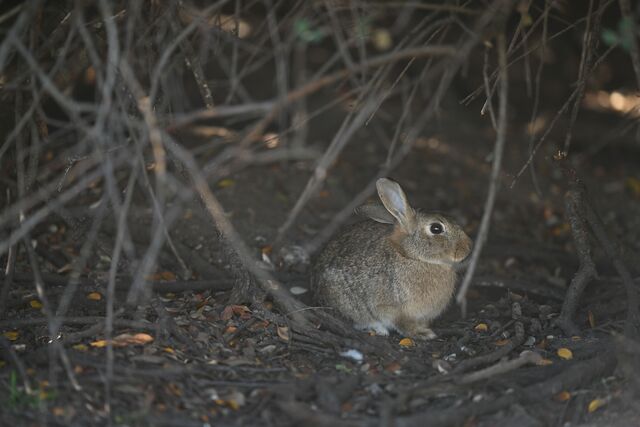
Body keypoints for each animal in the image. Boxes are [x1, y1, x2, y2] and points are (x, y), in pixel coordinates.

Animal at [312, 178, 472, 339]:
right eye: (436, 228)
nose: (468, 248)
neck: (411, 256)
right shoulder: (394, 310)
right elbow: (401, 323)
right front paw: (422, 333)